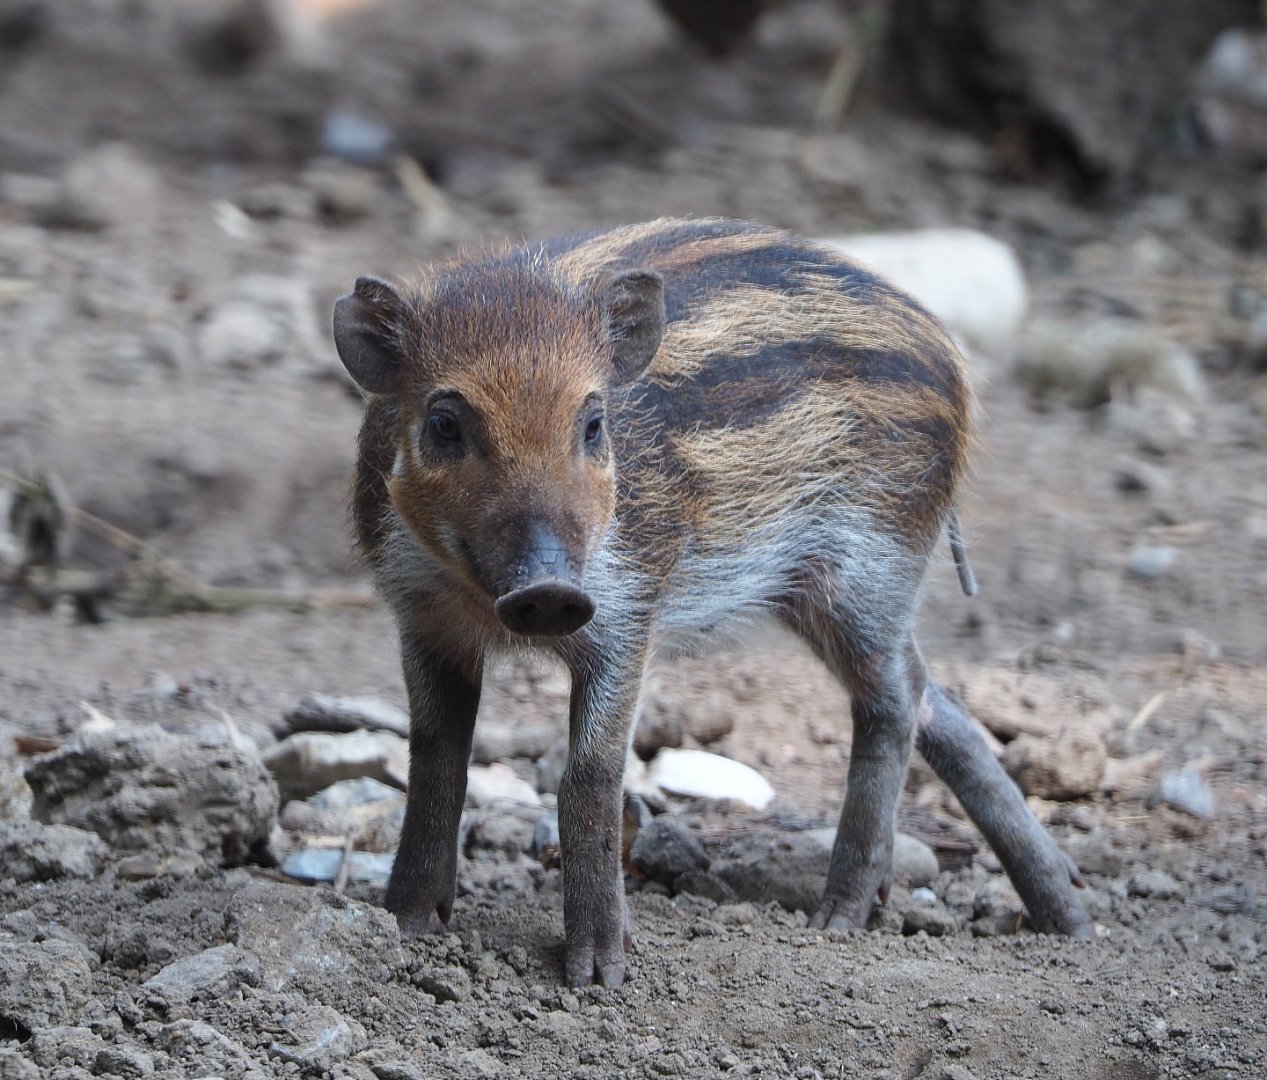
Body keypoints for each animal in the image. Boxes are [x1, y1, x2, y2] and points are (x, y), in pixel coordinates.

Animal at [332, 217, 1092, 989]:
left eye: (593, 423)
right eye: (444, 423)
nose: (547, 591)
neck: (475, 595)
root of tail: (947, 354)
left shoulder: (627, 611)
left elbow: (590, 776)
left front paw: (598, 976)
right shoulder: (422, 621)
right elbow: (434, 759)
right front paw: (402, 925)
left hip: (867, 568)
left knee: (893, 704)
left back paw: (838, 919)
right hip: (825, 591)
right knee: (937, 702)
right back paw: (1069, 918)